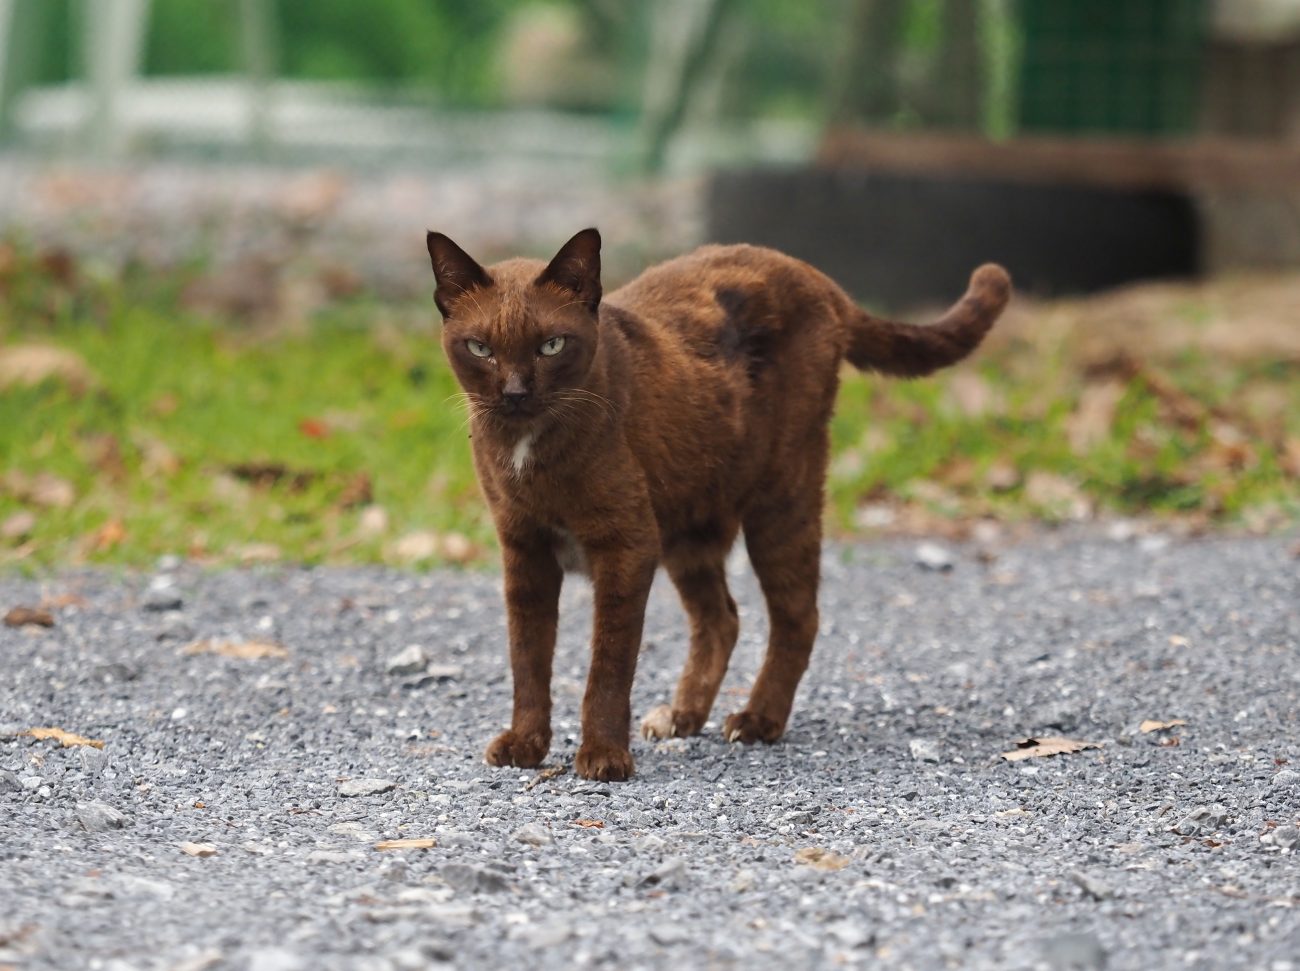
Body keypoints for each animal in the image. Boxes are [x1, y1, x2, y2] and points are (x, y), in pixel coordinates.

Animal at [428, 227, 1013, 779]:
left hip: (781, 500)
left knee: (798, 615)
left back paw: (757, 721)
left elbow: (608, 666)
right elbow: (527, 658)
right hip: (691, 528)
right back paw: (681, 716)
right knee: (722, 619)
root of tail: (814, 276)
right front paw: (524, 745)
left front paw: (603, 758)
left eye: (551, 345)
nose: (515, 392)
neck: (527, 452)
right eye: (480, 348)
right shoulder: (524, 550)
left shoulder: (626, 544)